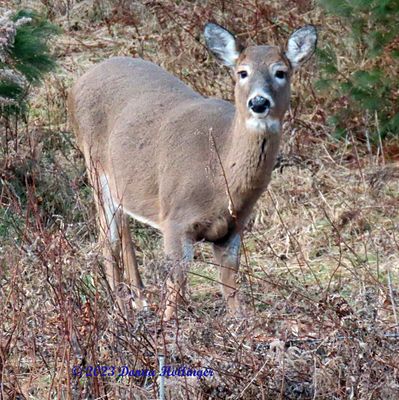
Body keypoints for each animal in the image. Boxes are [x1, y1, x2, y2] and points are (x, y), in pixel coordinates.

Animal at [69, 23, 318, 320]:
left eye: (281, 72)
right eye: (242, 72)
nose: (259, 103)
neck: (220, 175)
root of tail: (81, 80)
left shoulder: (233, 229)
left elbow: (230, 288)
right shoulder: (175, 220)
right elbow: (175, 286)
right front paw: (167, 326)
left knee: (123, 228)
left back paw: (139, 300)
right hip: (95, 166)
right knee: (109, 240)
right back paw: (121, 310)